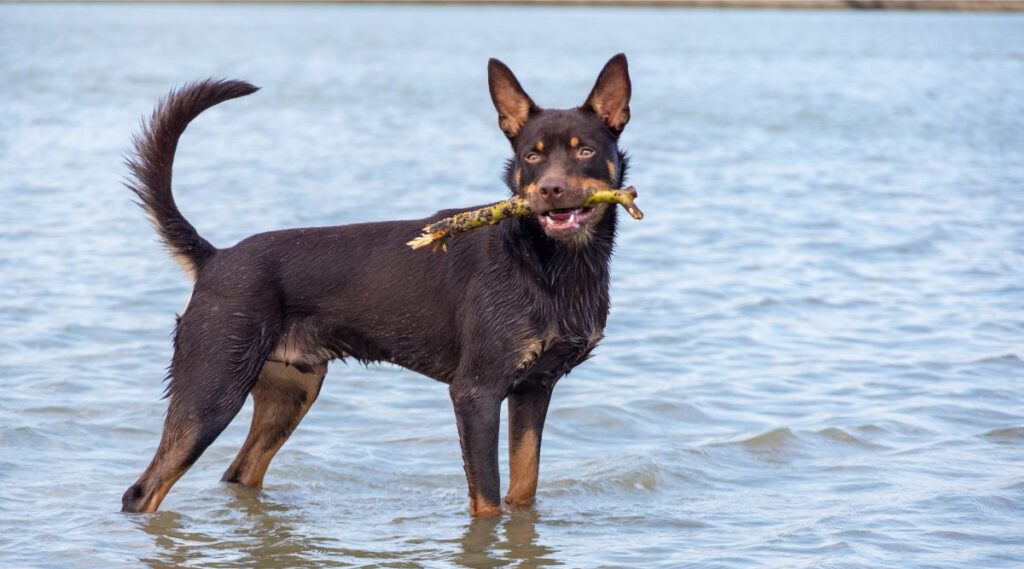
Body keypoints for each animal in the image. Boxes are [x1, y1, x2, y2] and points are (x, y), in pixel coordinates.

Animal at [119, 53, 630, 515]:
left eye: (585, 150)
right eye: (531, 155)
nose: (550, 191)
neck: (551, 264)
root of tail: (215, 258)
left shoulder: (533, 390)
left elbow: (523, 491)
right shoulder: (476, 392)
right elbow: (488, 503)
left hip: (291, 391)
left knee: (240, 472)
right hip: (212, 391)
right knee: (142, 492)